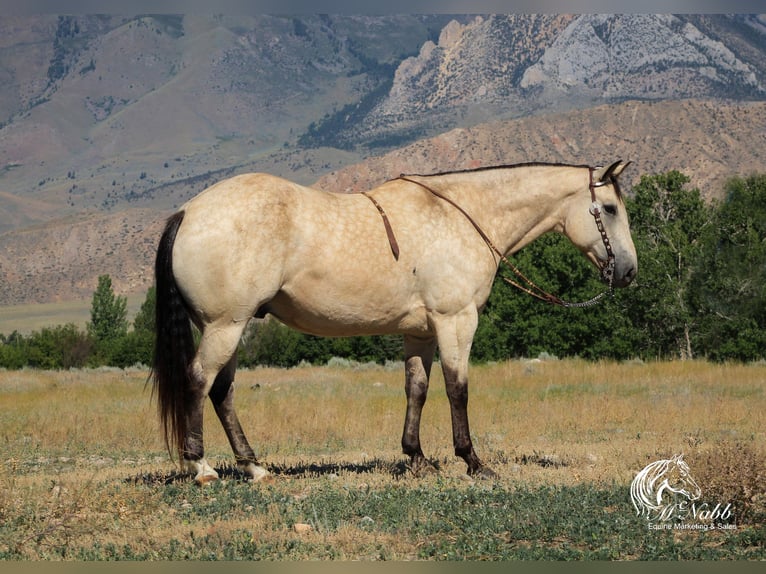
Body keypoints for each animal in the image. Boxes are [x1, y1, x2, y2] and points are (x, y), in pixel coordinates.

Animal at [150, 159, 636, 486]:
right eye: (610, 208)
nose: (628, 272)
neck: (461, 215)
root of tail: (188, 212)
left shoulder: (418, 332)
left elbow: (416, 390)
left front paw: (417, 458)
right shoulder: (456, 321)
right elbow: (457, 389)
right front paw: (473, 462)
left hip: (230, 328)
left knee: (222, 392)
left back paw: (254, 466)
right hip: (224, 326)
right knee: (200, 381)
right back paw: (202, 467)